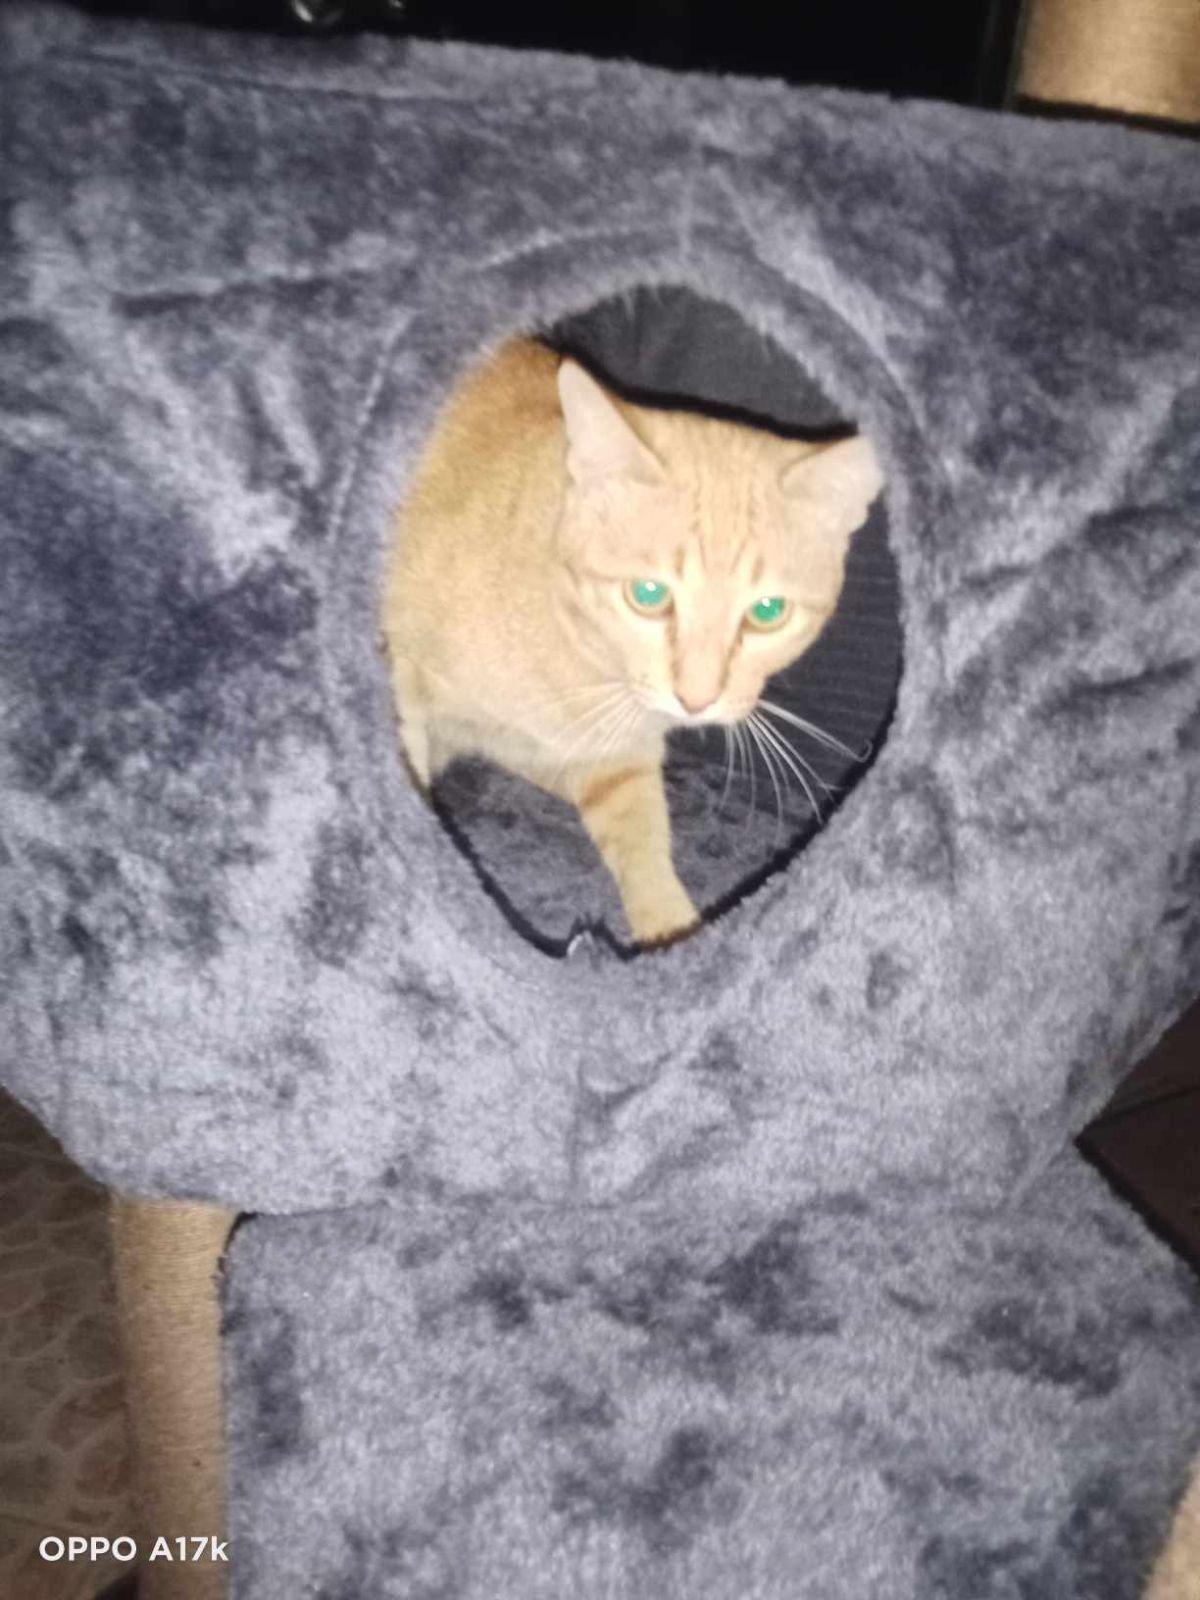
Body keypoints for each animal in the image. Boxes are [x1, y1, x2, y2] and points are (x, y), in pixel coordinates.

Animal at [384, 337, 882, 945]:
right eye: (648, 594)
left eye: (767, 612)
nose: (696, 700)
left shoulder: (618, 764)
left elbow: (643, 844)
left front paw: (670, 933)